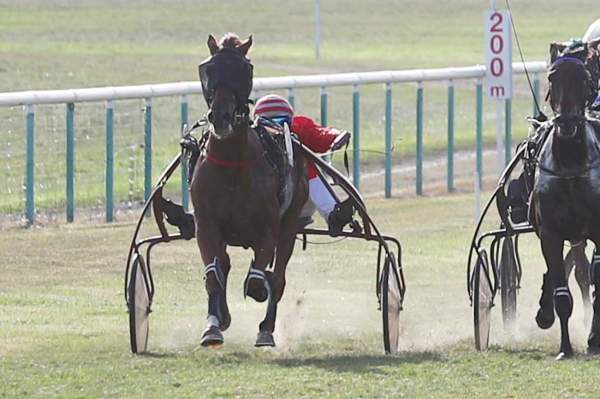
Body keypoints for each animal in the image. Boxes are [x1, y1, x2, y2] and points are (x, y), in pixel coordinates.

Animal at [190, 33, 308, 346]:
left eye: (245, 71)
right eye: (209, 68)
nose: (221, 116)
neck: (231, 165)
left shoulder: (268, 227)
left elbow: (259, 281)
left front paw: (260, 292)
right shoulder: (206, 223)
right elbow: (214, 274)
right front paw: (213, 325)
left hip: (290, 221)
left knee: (278, 277)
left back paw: (266, 328)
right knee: (226, 264)